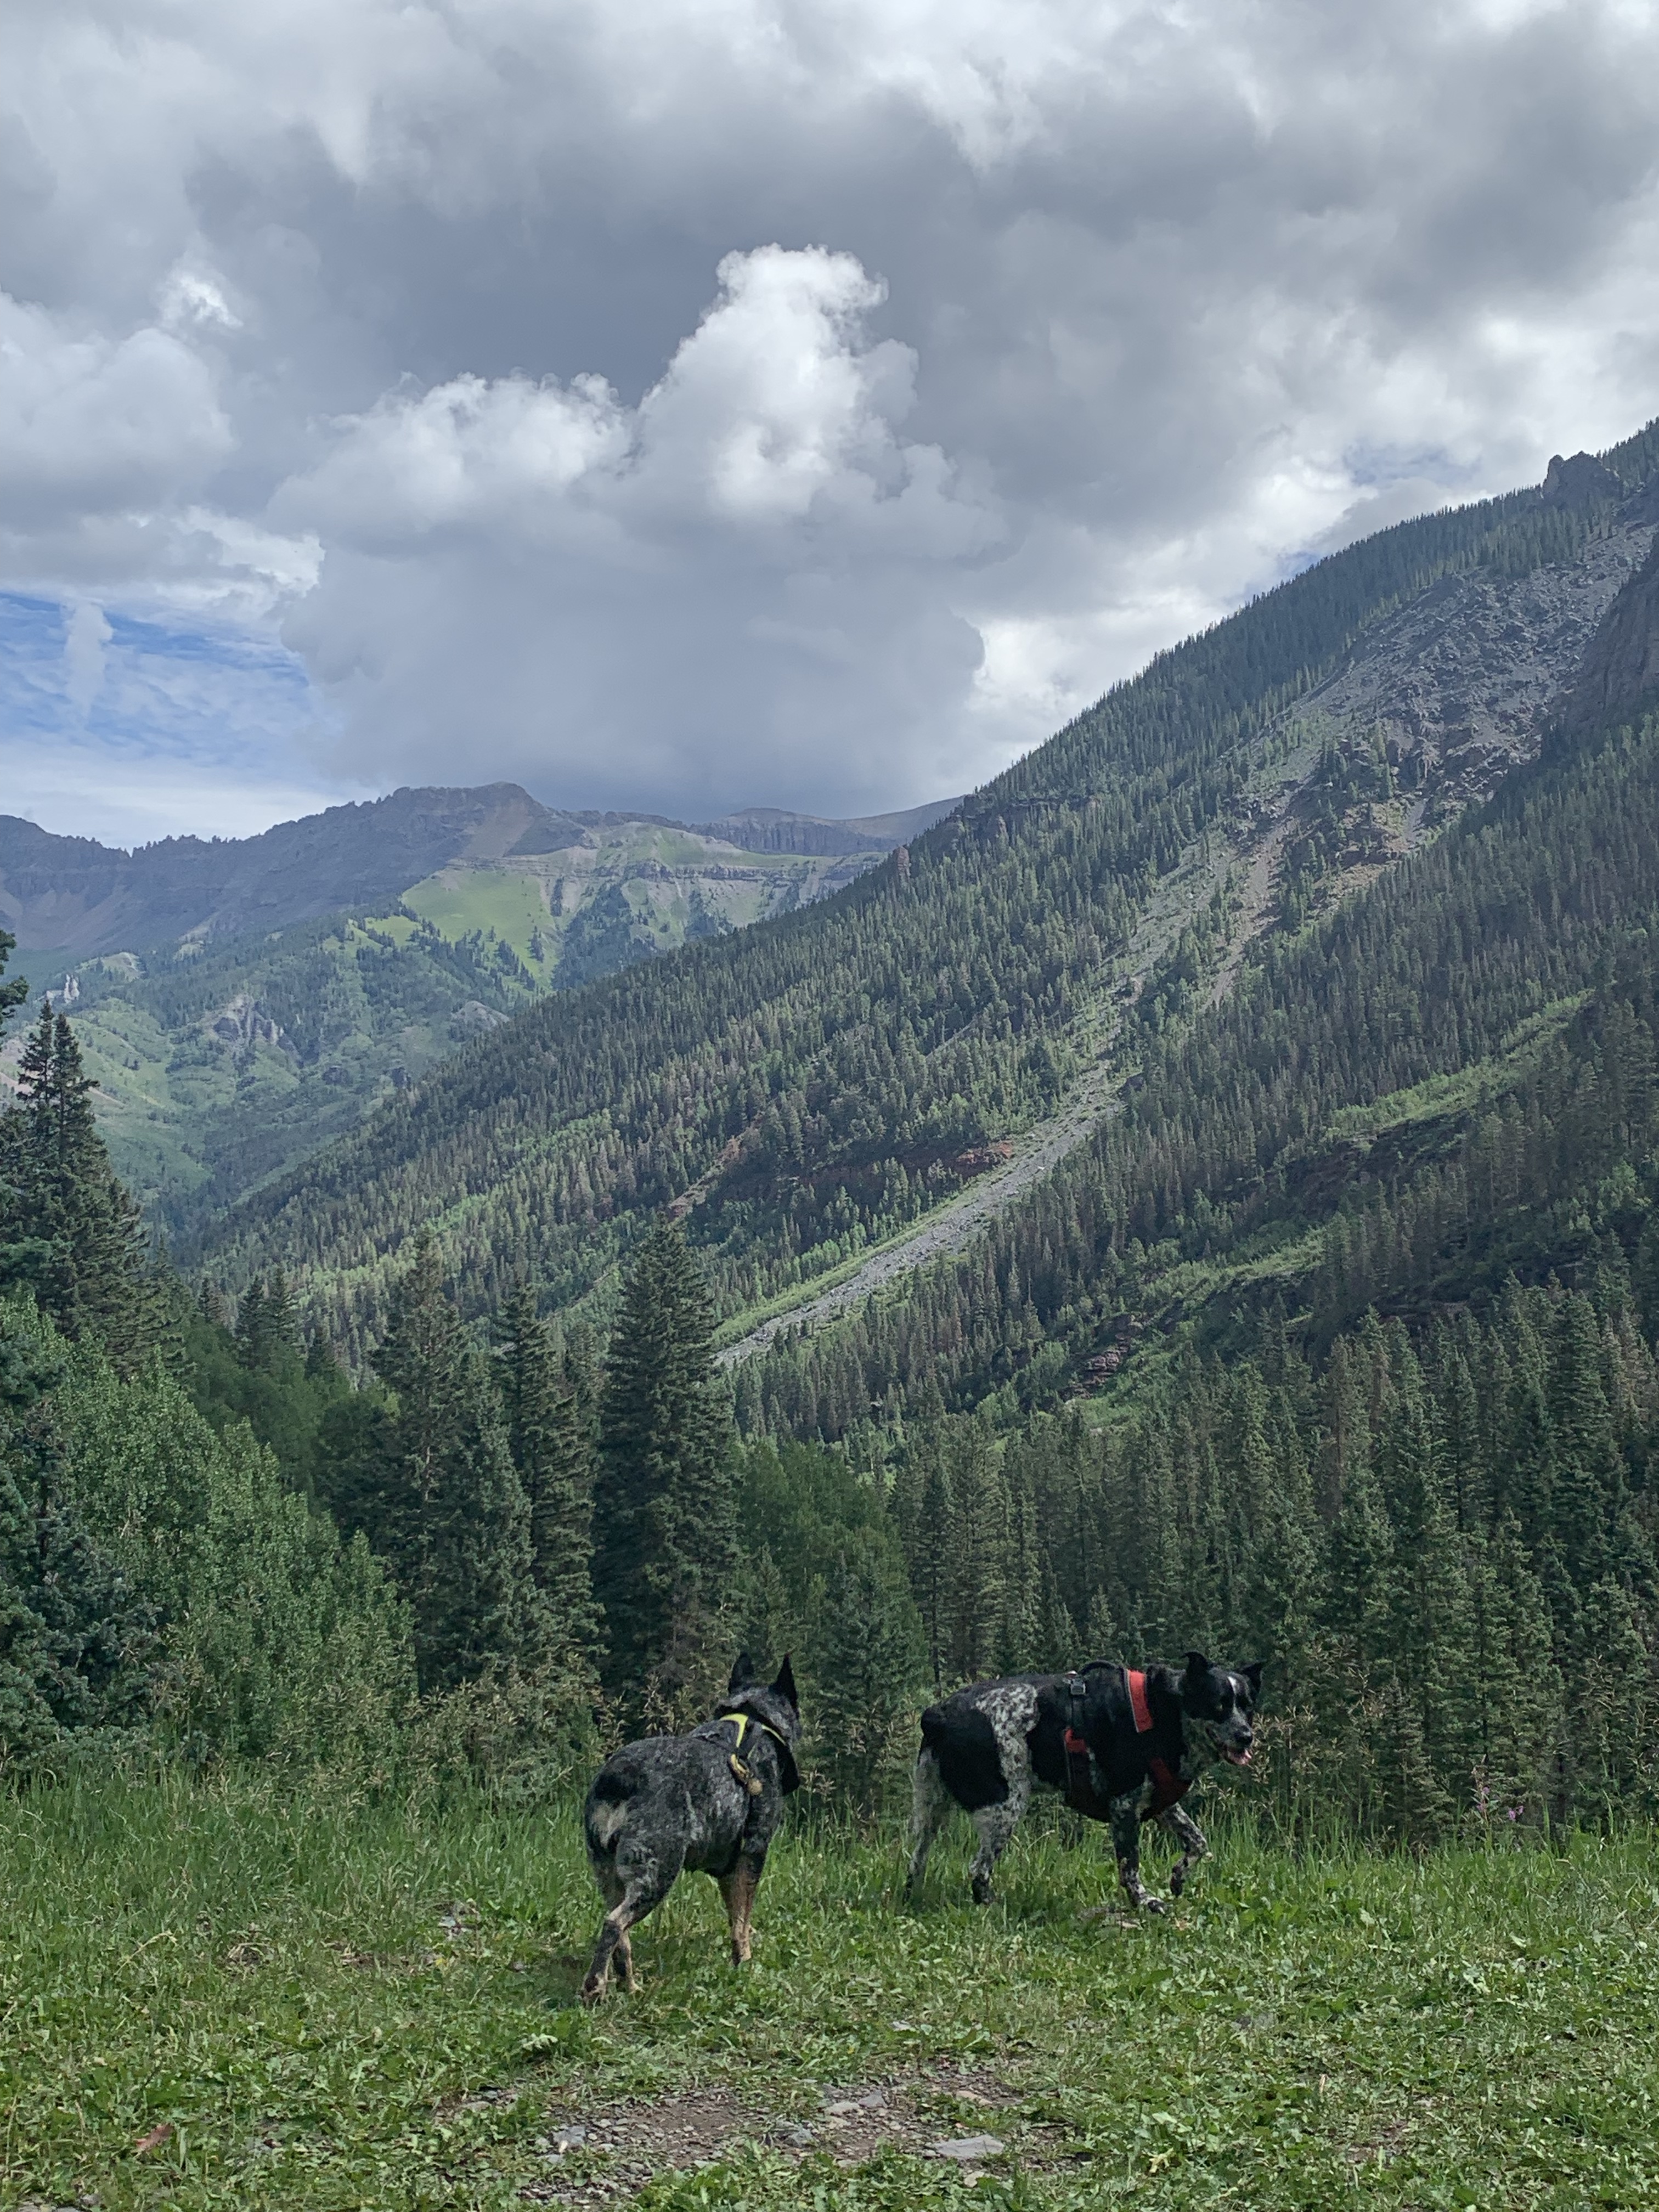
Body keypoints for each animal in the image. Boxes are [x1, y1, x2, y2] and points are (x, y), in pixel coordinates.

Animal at [580, 1654, 801, 2003]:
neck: (754, 1719)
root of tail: (619, 1777)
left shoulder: (729, 1868)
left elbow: (734, 1916)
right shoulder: (752, 1855)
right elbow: (742, 1920)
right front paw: (745, 1964)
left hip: (609, 1874)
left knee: (620, 1938)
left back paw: (630, 1986)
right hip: (656, 1871)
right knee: (614, 1924)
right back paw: (595, 1987)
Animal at [906, 1652, 1262, 1914]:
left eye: (1247, 1707)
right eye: (1218, 1704)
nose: (1246, 1737)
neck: (1165, 1711)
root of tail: (938, 1713)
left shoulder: (1160, 1804)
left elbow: (1198, 1842)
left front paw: (1178, 1877)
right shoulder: (1124, 1806)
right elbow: (1130, 1866)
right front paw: (1144, 1902)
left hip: (930, 1810)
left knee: (918, 1859)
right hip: (1005, 1807)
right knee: (978, 1868)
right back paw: (991, 1906)